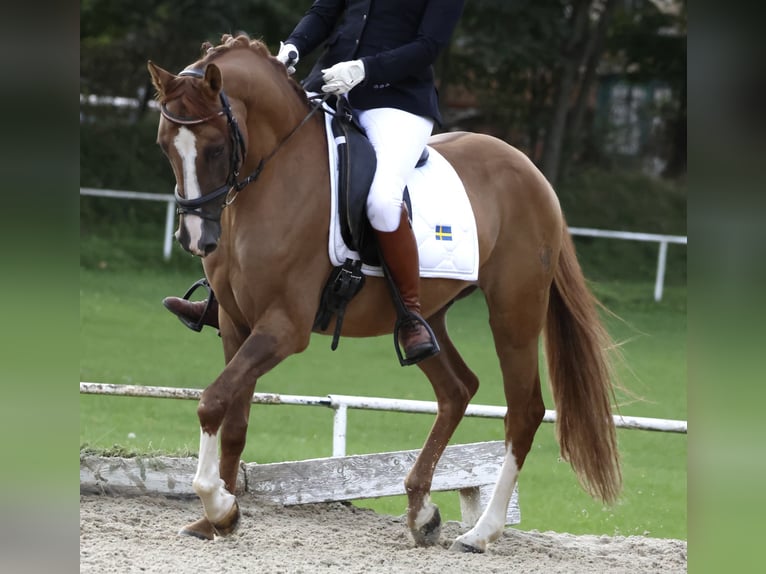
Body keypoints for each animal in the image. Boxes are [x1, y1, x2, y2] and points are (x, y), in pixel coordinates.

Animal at [148, 35, 624, 552]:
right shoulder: (236, 323)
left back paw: (481, 532)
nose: (196, 238)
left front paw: (219, 505)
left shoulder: (283, 328)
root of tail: (534, 174)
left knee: (524, 411)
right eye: (164, 146)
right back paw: (421, 512)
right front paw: (219, 518)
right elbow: (233, 418)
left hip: (514, 313)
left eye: (216, 148)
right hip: (429, 315)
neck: (275, 177)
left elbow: (212, 401)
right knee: (457, 389)